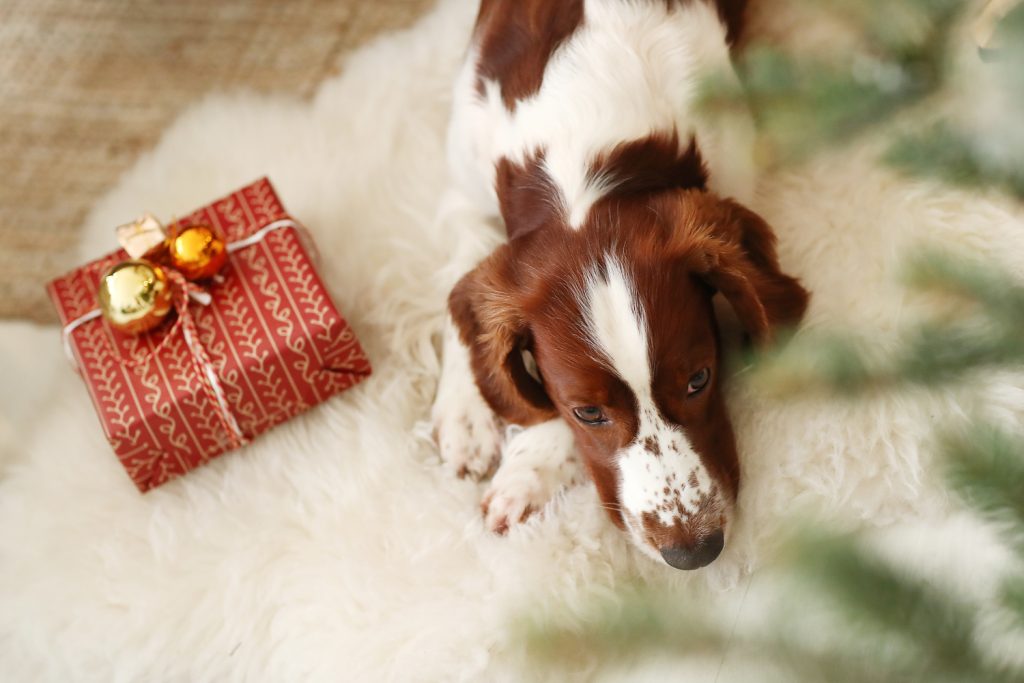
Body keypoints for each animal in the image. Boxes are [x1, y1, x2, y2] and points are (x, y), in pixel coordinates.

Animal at [430, 0, 806, 573]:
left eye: (699, 379)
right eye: (587, 411)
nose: (694, 552)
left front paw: (528, 469)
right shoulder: (465, 190)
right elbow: (463, 292)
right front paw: (470, 421)